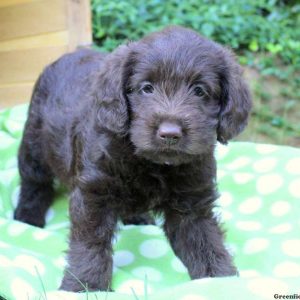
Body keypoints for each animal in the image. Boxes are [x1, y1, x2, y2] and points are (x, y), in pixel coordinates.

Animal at [15, 25, 252, 290]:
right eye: (146, 88)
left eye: (200, 91)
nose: (170, 134)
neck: (152, 163)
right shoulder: (93, 193)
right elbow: (90, 243)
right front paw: (86, 285)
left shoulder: (192, 202)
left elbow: (205, 241)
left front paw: (219, 281)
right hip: (34, 143)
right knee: (34, 183)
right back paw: (27, 218)